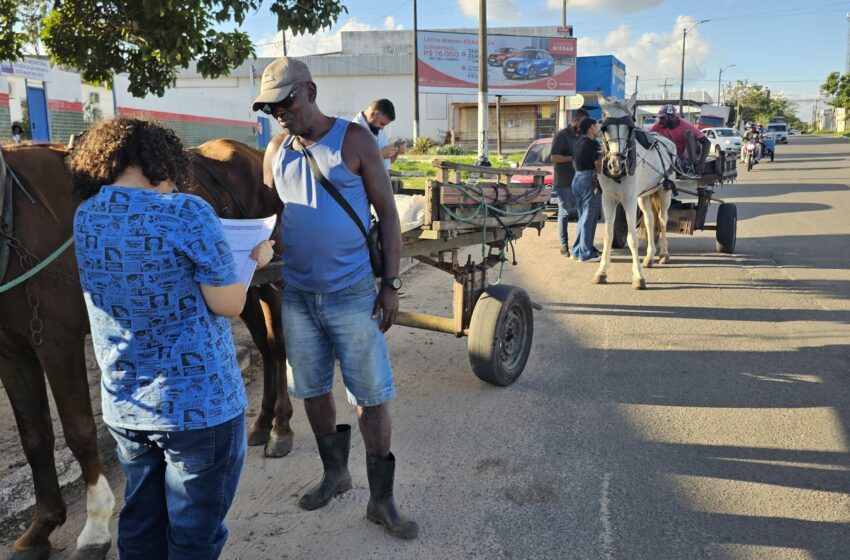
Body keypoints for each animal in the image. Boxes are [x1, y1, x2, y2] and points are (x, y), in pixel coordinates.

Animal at [592, 93, 672, 288]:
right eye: (604, 128)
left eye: (629, 128)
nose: (616, 164)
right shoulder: (608, 199)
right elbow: (608, 235)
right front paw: (601, 271)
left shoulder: (628, 199)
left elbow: (632, 238)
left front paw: (638, 276)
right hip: (643, 196)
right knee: (650, 220)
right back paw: (650, 257)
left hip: (664, 191)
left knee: (663, 219)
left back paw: (663, 253)